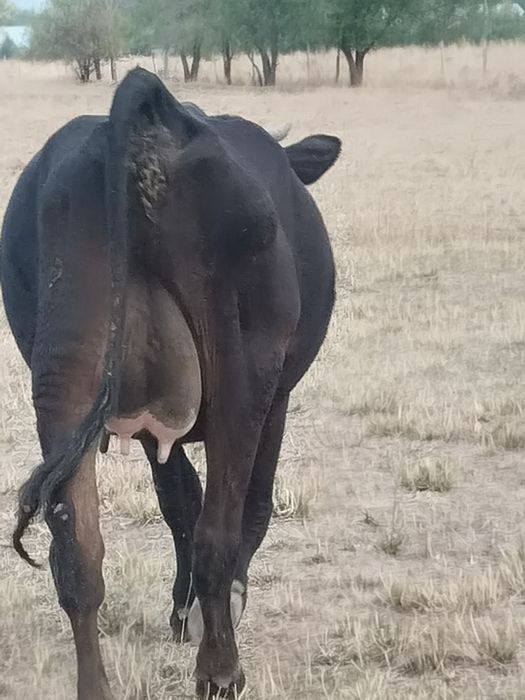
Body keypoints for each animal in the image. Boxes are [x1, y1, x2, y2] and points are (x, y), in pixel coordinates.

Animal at [0, 68, 340, 699]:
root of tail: (150, 108)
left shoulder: (151, 429)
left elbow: (176, 500)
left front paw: (183, 611)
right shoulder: (277, 399)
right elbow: (238, 507)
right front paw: (217, 608)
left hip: (61, 376)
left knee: (76, 549)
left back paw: (98, 685)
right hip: (242, 373)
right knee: (220, 530)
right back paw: (220, 669)